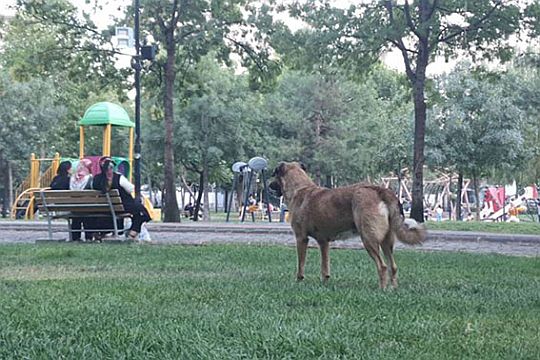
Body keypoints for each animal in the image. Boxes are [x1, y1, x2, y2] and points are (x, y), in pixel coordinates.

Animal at [270, 162, 426, 288]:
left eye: (275, 175)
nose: (270, 186)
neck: (300, 188)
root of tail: (378, 189)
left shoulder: (301, 238)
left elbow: (301, 265)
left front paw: (299, 281)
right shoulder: (323, 242)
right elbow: (325, 267)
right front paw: (325, 283)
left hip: (368, 239)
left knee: (382, 266)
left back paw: (382, 290)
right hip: (386, 241)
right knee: (393, 267)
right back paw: (393, 289)